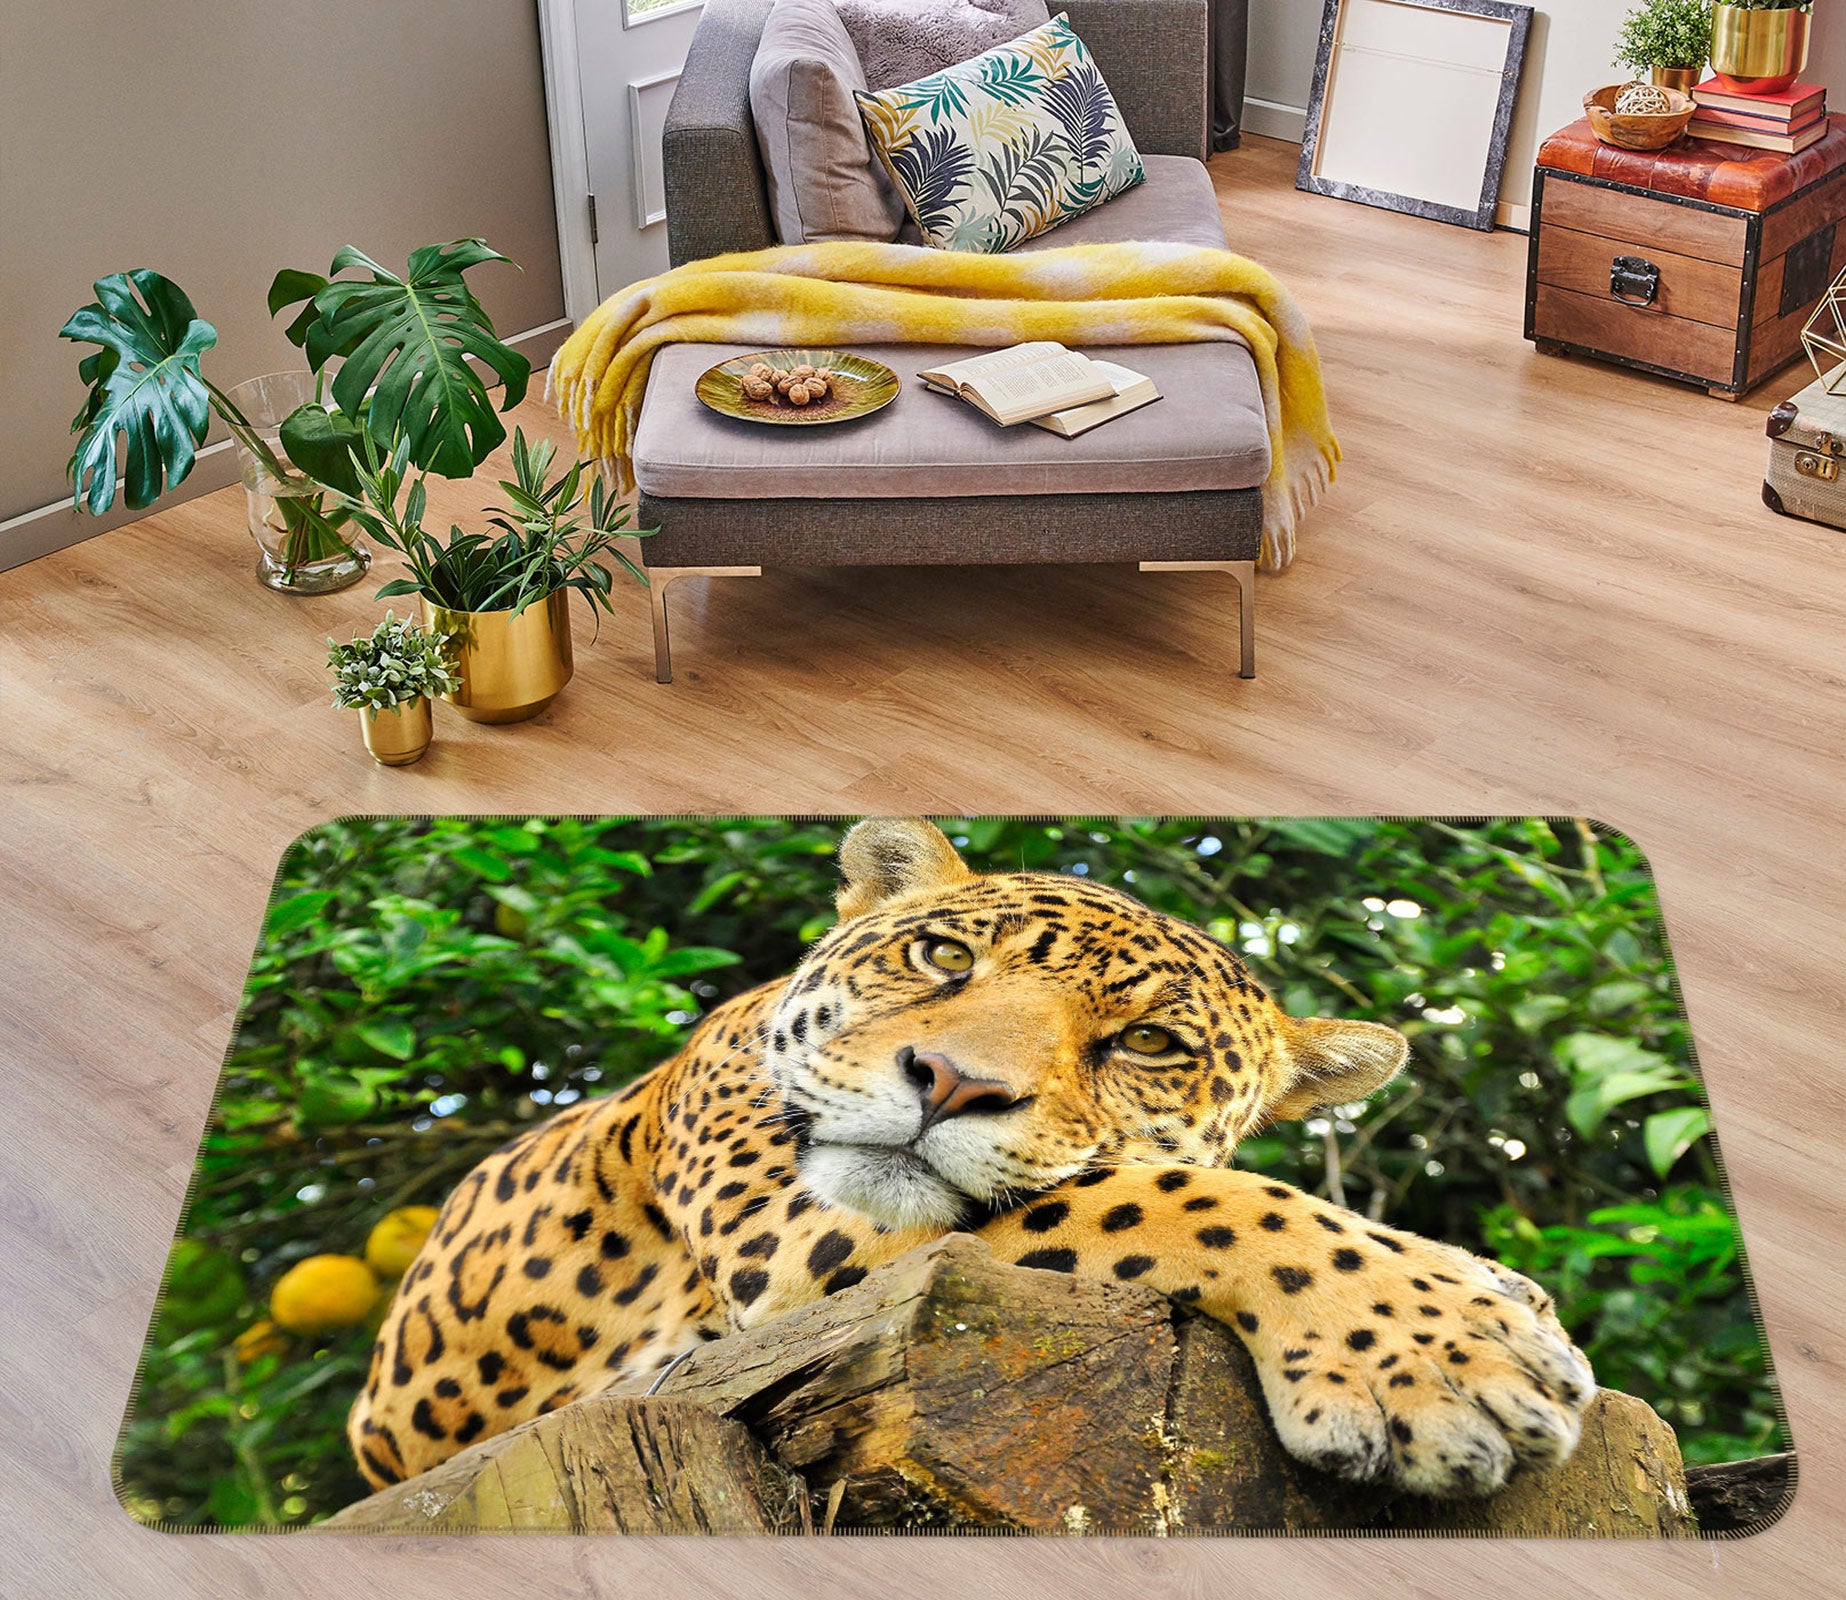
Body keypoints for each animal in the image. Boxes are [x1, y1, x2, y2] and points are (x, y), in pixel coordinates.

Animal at [349, 817, 1594, 1501]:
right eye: (942, 955)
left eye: (1149, 1044)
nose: (947, 1081)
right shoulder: (798, 1237)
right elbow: (1174, 1195)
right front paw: (1445, 1352)